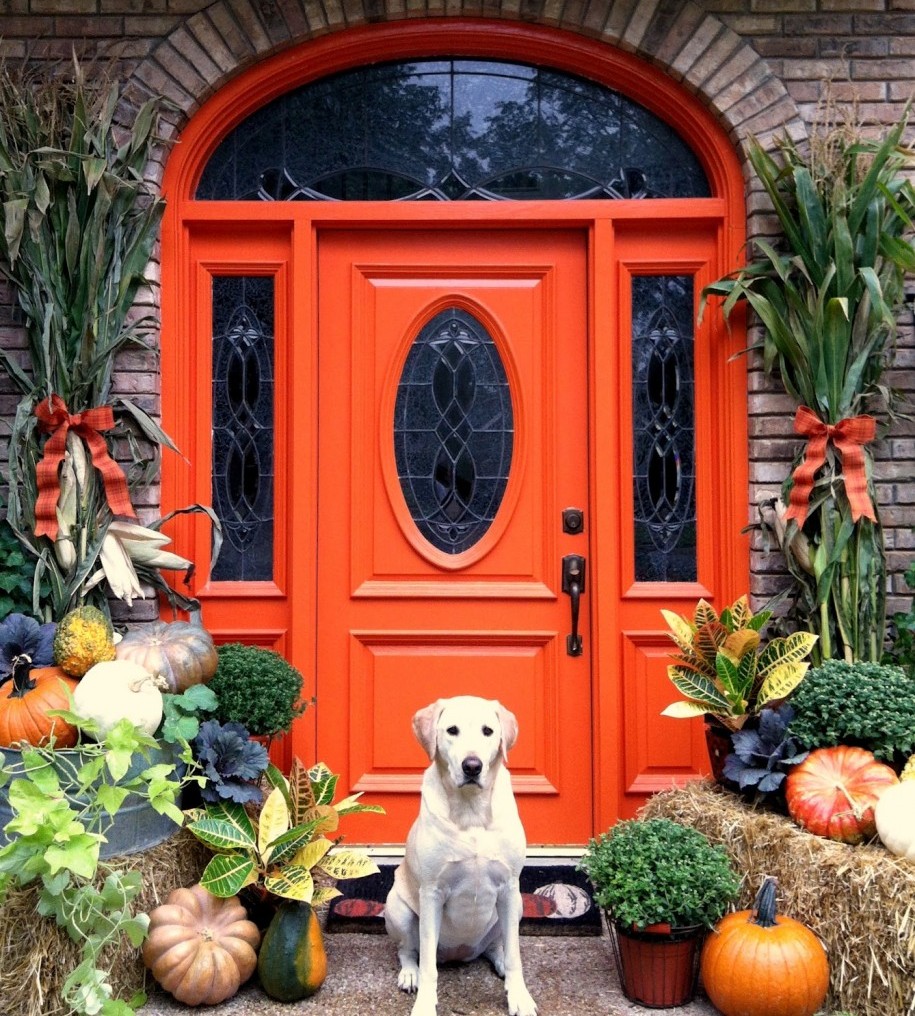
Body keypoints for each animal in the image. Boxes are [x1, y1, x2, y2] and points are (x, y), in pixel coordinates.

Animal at [383, 694, 536, 1016]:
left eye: (488, 731)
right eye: (452, 730)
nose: (472, 766)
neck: (471, 811)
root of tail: (458, 953)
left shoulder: (509, 887)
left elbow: (515, 955)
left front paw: (519, 996)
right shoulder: (432, 892)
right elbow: (428, 966)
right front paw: (425, 1005)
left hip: (516, 906)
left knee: (497, 946)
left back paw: (499, 962)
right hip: (398, 908)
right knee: (408, 951)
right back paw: (410, 974)